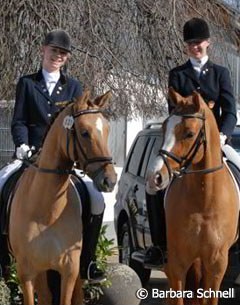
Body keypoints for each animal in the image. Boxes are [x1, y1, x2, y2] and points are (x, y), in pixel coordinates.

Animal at [7, 91, 116, 304]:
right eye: (84, 132)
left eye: (108, 130)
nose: (110, 180)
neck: (46, 209)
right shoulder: (26, 273)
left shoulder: (69, 270)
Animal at [146, 86, 238, 302]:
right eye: (164, 128)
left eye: (189, 134)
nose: (154, 177)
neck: (203, 200)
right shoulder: (178, 262)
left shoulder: (216, 264)